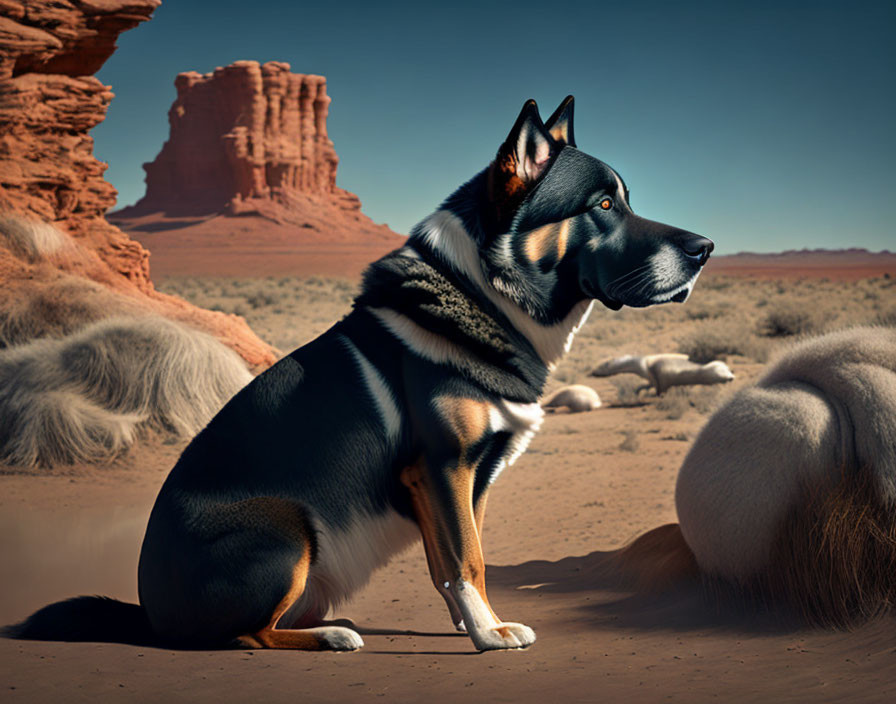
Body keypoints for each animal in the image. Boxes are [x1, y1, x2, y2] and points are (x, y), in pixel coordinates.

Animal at [10, 96, 712, 652]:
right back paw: (330, 635)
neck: (485, 294)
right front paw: (490, 635)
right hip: (287, 528)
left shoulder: (461, 479)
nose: (705, 249)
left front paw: (471, 624)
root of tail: (149, 614)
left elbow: (454, 558)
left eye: (624, 201)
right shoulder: (443, 465)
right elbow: (469, 558)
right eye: (603, 204)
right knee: (243, 634)